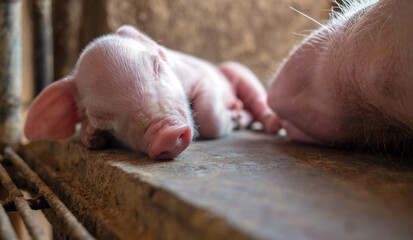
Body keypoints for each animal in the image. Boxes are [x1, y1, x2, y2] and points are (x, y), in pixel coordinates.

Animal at [24, 24, 278, 159]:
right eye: (100, 117)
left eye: (156, 66)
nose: (166, 133)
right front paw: (92, 138)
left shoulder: (204, 78)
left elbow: (209, 116)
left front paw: (233, 117)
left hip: (239, 71)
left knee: (258, 98)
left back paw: (258, 119)